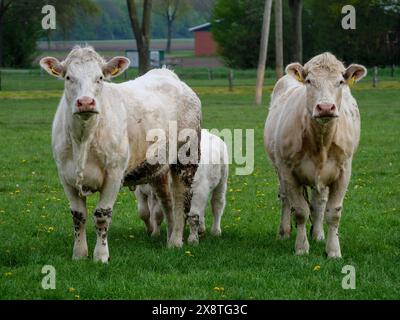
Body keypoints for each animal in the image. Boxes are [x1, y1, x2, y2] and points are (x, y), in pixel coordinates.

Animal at [40, 45, 202, 262]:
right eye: (68, 77)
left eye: (100, 77)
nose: (85, 102)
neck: (84, 138)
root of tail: (169, 74)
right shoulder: (66, 176)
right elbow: (78, 215)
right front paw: (79, 254)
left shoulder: (114, 174)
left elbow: (102, 215)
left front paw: (101, 256)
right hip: (158, 168)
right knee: (167, 201)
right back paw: (169, 238)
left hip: (186, 158)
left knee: (180, 200)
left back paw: (176, 241)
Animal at [264, 52, 368, 258]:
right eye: (309, 81)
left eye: (340, 81)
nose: (326, 107)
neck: (320, 140)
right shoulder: (287, 171)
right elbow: (300, 211)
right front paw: (301, 248)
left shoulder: (343, 171)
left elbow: (333, 212)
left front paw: (333, 250)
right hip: (279, 170)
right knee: (285, 199)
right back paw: (283, 232)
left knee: (319, 203)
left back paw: (318, 234)